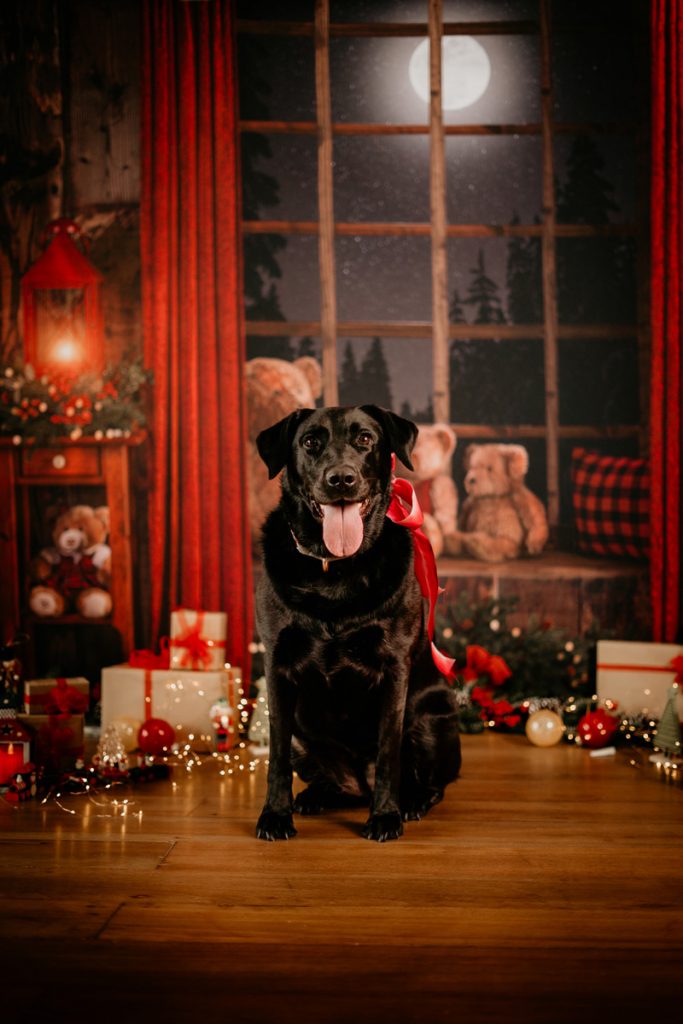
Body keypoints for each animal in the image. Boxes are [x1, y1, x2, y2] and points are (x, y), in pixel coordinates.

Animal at [253, 403, 462, 843]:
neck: (335, 569)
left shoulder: (394, 667)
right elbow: (276, 756)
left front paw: (385, 816)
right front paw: (275, 815)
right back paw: (316, 795)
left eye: (365, 438)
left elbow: (388, 751)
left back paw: (411, 801)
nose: (342, 479)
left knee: (431, 782)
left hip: (433, 716)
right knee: (331, 782)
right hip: (304, 736)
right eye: (310, 441)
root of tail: (356, 782)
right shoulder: (277, 665)